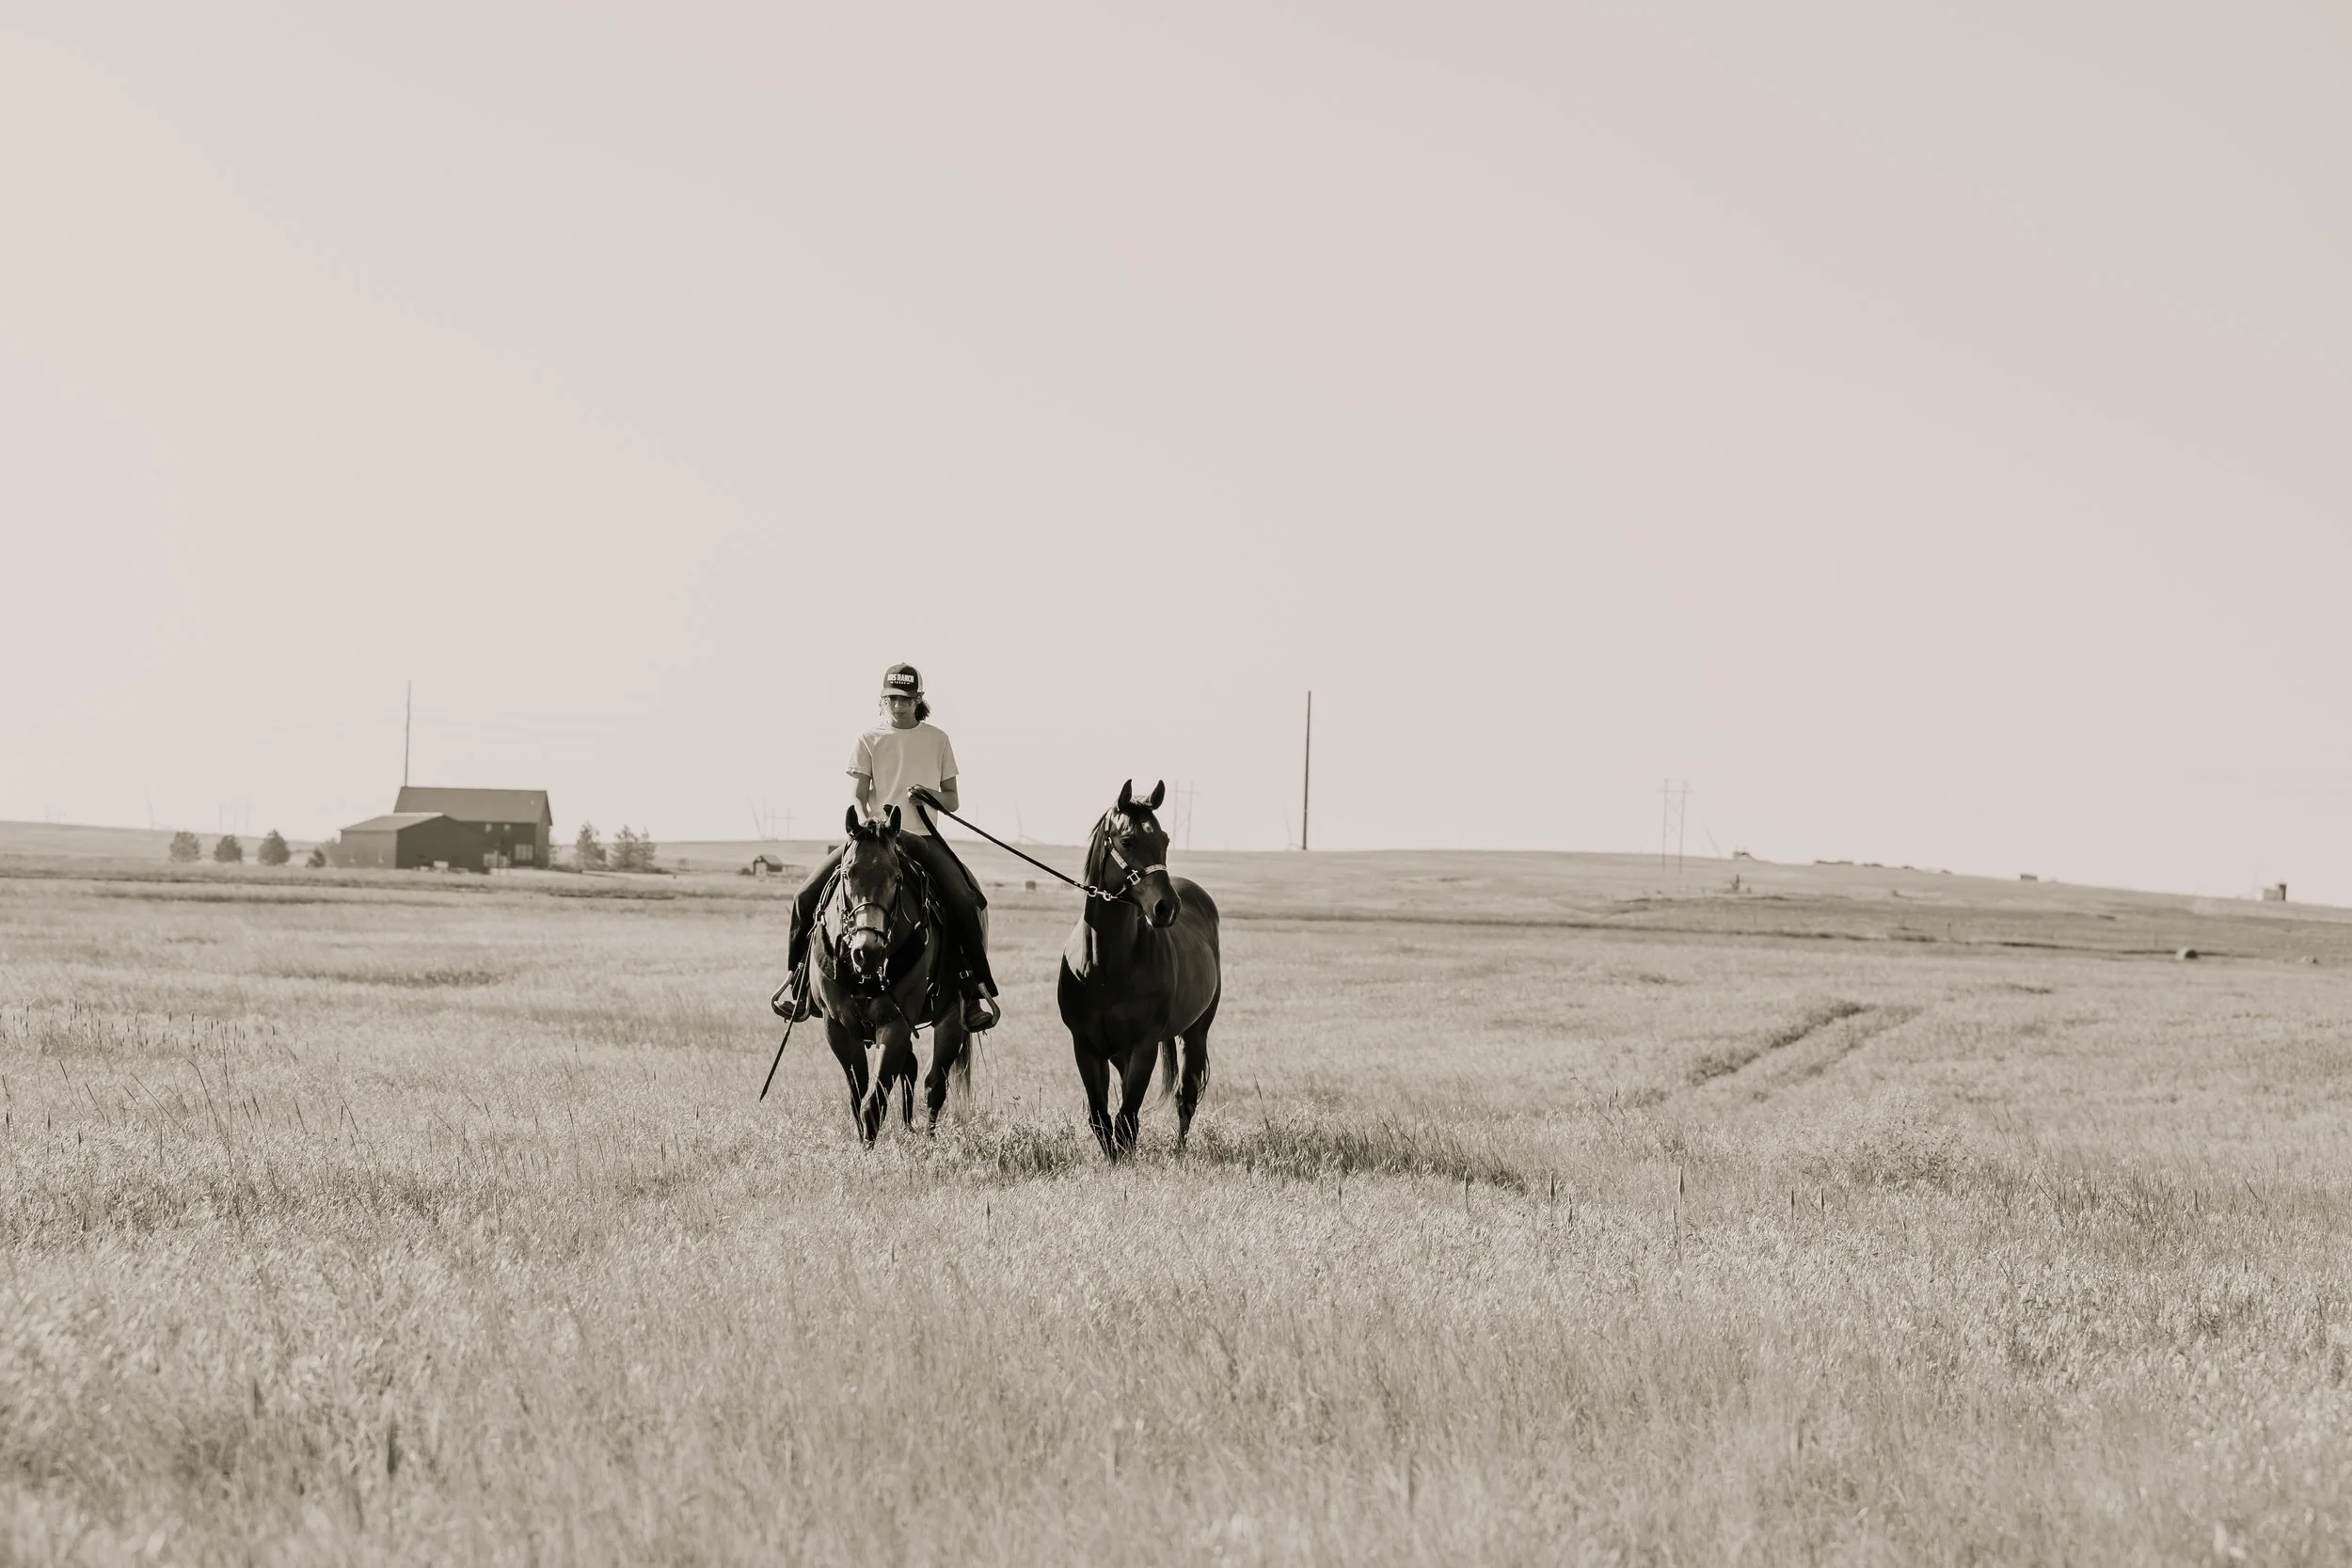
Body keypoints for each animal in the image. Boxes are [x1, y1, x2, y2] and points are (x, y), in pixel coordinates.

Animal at [809, 805, 973, 1144]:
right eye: (847, 874)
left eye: (896, 877)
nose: (867, 951)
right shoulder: (837, 1026)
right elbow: (858, 1097)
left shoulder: (895, 1023)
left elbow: (873, 1104)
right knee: (911, 1069)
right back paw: (909, 1126)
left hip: (951, 1017)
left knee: (934, 1084)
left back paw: (928, 1138)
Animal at [1057, 780, 1221, 1159]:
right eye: (1129, 840)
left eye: (1165, 839)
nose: (1167, 907)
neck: (1104, 966)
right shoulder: (1086, 1047)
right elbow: (1101, 1117)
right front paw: (1113, 1161)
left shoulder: (1143, 1047)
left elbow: (1127, 1118)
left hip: (1197, 1033)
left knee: (1186, 1097)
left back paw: (1180, 1151)